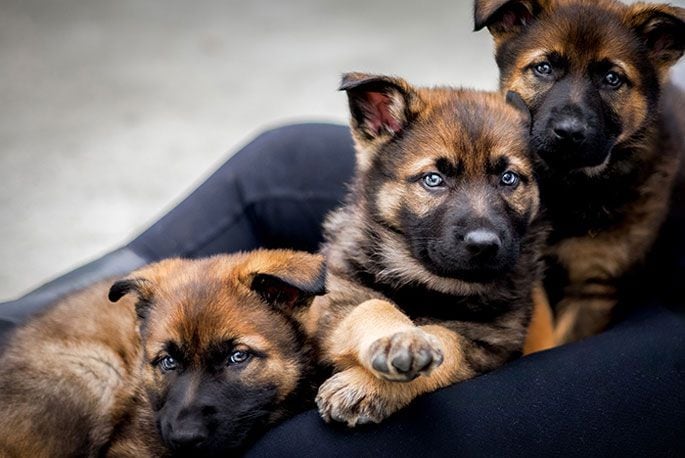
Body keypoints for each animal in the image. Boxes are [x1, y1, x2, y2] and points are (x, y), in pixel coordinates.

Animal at [312, 71, 552, 426]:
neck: (428, 283)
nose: (483, 244)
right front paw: (398, 339)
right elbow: (371, 307)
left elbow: (447, 341)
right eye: (434, 180)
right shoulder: (333, 307)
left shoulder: (488, 347)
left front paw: (367, 385)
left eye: (509, 178)